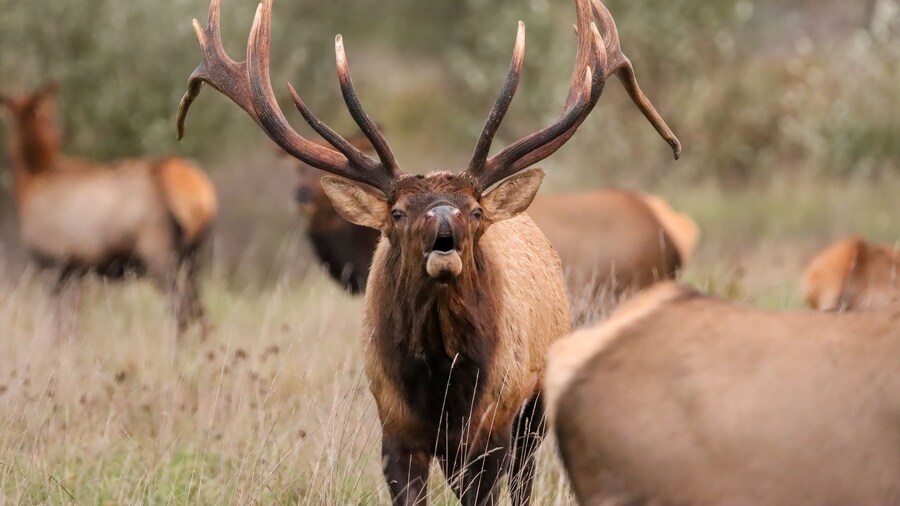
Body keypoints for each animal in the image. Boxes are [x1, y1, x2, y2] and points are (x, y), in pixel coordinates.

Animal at [0, 84, 217, 338]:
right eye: (50, 115)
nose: (60, 131)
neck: (30, 181)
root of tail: (200, 196)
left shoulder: (52, 264)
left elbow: (60, 325)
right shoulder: (75, 271)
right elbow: (72, 322)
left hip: (159, 253)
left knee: (180, 310)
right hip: (193, 258)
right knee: (200, 312)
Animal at [176, 0, 679, 503]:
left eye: (475, 210)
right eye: (398, 211)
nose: (443, 225)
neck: (442, 383)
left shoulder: (492, 426)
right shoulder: (395, 431)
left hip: (538, 399)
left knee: (526, 478)